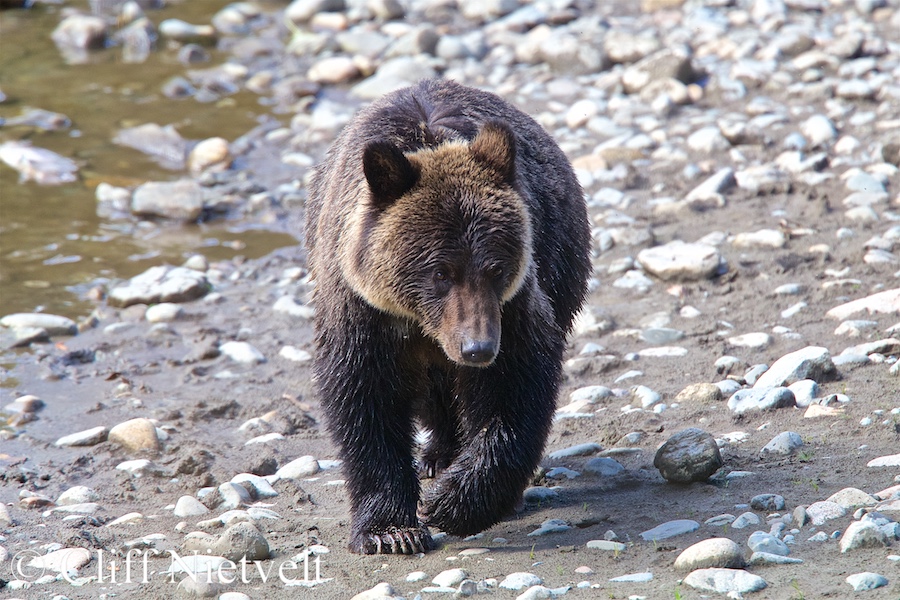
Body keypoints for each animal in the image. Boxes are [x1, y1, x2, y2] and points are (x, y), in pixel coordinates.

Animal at [306, 78, 596, 552]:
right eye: (440, 271)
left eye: (496, 268)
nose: (477, 348)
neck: (421, 322)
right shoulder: (363, 314)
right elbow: (364, 401)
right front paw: (391, 530)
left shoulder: (513, 307)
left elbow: (515, 388)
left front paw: (455, 503)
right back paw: (438, 454)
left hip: (562, 258)